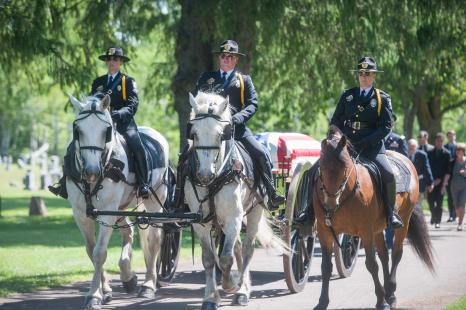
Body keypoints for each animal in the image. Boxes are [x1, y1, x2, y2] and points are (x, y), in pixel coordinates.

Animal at [65, 95, 167, 310]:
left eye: (106, 131)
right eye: (78, 130)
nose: (91, 171)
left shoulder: (107, 210)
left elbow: (99, 252)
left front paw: (94, 295)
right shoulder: (80, 213)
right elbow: (90, 250)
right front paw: (105, 290)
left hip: (154, 202)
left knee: (154, 241)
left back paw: (149, 284)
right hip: (120, 208)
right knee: (128, 232)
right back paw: (128, 276)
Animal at [186, 92, 288, 310]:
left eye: (220, 134)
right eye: (194, 133)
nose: (205, 175)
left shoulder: (233, 217)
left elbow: (225, 258)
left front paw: (231, 285)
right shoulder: (201, 223)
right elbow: (209, 259)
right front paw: (210, 297)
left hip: (254, 211)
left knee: (248, 248)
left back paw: (242, 291)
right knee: (239, 247)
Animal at [312, 125, 436, 310]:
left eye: (345, 169)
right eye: (322, 168)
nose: (330, 203)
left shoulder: (366, 231)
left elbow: (371, 264)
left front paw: (381, 300)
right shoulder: (324, 231)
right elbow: (326, 267)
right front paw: (322, 302)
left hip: (403, 221)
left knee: (396, 253)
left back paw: (390, 294)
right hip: (377, 229)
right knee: (384, 256)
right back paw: (387, 292)